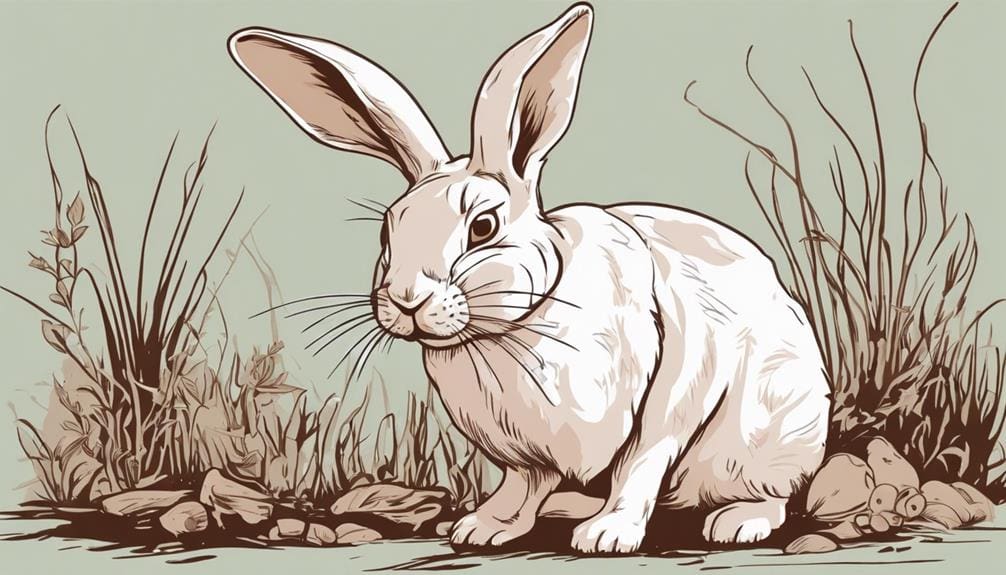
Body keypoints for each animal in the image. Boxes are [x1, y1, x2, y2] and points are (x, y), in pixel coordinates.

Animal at [229, 2, 830, 554]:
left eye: (483, 226)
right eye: (387, 230)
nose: (405, 300)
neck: (515, 324)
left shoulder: (670, 396)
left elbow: (639, 465)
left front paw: (608, 537)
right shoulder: (524, 450)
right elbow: (522, 486)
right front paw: (481, 528)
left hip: (766, 435)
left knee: (773, 491)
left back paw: (737, 523)